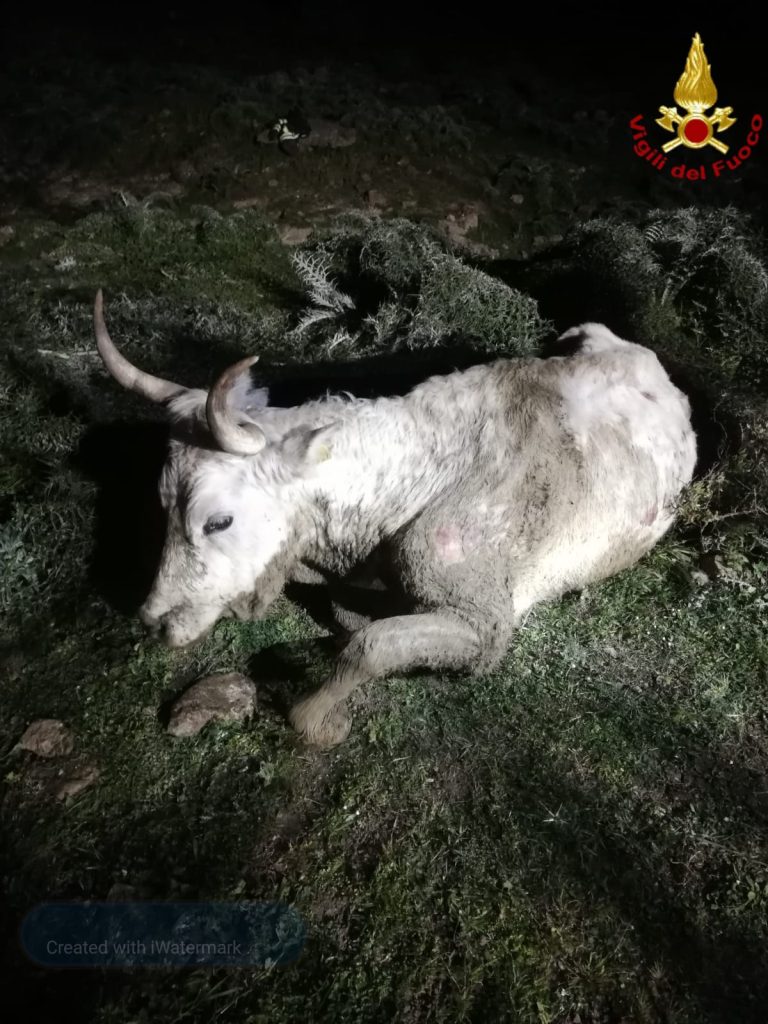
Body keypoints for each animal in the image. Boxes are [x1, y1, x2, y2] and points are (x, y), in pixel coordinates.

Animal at [92, 290, 697, 747]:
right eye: (160, 503)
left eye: (218, 521)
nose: (153, 619)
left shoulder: (487, 621)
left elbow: (371, 644)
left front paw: (314, 717)